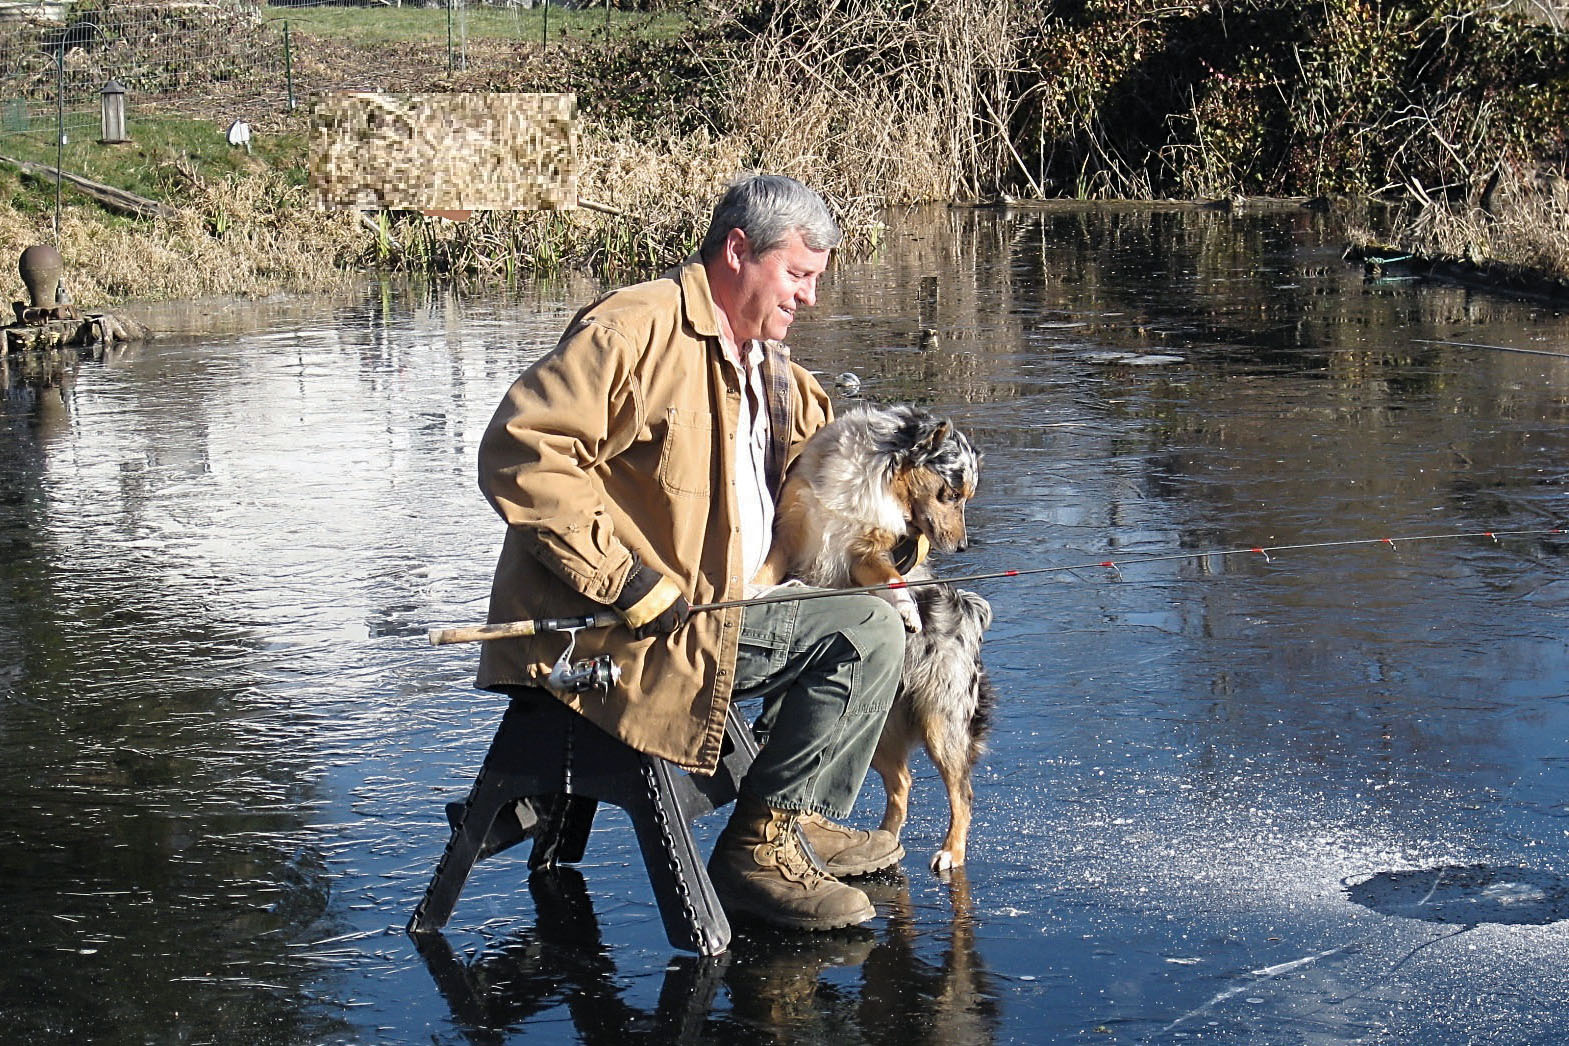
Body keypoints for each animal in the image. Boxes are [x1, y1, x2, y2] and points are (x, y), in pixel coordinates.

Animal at [753, 404, 997, 871]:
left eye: (964, 498)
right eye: (951, 495)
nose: (962, 547)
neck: (872, 476)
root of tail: (971, 615)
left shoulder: (866, 550)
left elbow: (891, 577)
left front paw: (906, 609)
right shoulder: (791, 526)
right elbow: (767, 567)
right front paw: (751, 590)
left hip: (942, 721)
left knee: (962, 793)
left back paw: (951, 851)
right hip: (875, 731)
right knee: (902, 782)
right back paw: (882, 843)